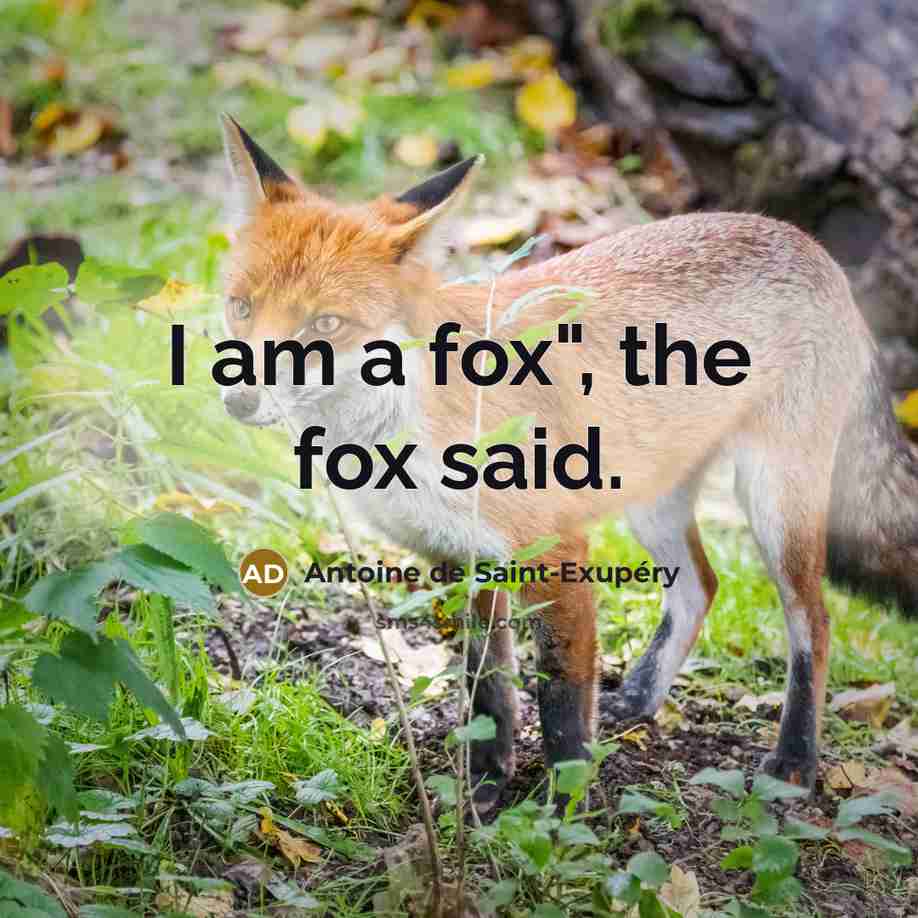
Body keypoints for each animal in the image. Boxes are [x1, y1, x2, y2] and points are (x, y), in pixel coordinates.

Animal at [218, 113, 918, 812]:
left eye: (325, 324)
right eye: (241, 307)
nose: (238, 396)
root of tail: (813, 247)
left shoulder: (555, 553)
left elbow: (558, 700)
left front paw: (561, 813)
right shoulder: (461, 557)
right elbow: (487, 687)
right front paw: (486, 787)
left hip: (776, 507)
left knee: (814, 624)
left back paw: (795, 760)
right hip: (651, 499)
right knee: (702, 586)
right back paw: (638, 699)